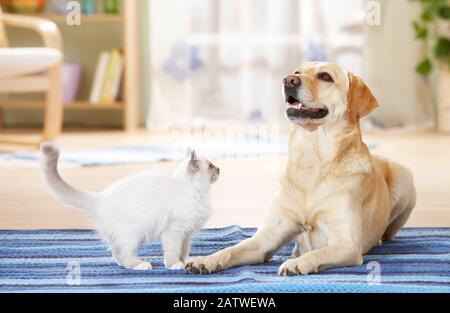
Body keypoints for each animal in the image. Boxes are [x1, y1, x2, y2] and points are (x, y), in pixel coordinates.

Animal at [40, 143, 220, 270]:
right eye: (210, 166)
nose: (219, 168)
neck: (198, 192)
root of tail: (101, 197)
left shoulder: (187, 233)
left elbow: (184, 250)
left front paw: (188, 261)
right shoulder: (174, 231)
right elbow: (173, 251)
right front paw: (174, 264)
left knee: (116, 253)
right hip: (131, 236)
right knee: (123, 254)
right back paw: (141, 265)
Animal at [184, 62, 414, 274]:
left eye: (325, 76)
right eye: (297, 72)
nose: (288, 80)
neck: (312, 157)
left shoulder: (346, 244)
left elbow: (318, 252)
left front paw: (297, 263)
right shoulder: (265, 239)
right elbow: (232, 249)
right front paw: (206, 259)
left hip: (405, 178)